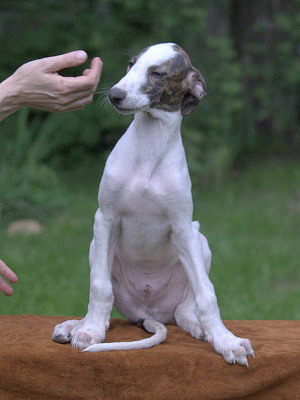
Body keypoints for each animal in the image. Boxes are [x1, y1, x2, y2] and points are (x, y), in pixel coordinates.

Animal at [52, 43, 254, 366]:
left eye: (157, 73)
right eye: (130, 64)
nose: (114, 94)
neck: (150, 146)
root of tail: (148, 313)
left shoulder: (182, 227)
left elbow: (207, 294)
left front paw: (227, 341)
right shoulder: (105, 218)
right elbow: (99, 286)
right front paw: (90, 331)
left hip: (199, 239)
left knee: (185, 310)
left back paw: (200, 327)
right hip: (96, 247)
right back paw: (76, 325)